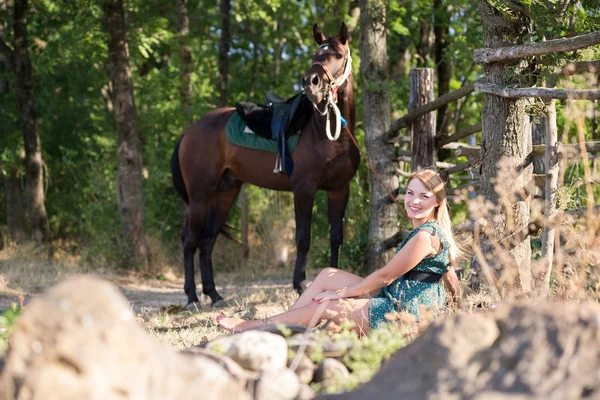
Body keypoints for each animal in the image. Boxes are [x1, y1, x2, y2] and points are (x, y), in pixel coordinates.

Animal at [170, 22, 356, 306]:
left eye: (337, 54)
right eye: (315, 54)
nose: (311, 83)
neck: (328, 135)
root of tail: (189, 132)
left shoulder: (339, 190)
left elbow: (336, 237)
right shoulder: (305, 189)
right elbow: (303, 238)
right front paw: (300, 284)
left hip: (225, 193)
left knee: (207, 240)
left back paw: (214, 294)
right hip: (200, 195)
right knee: (190, 240)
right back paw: (192, 297)